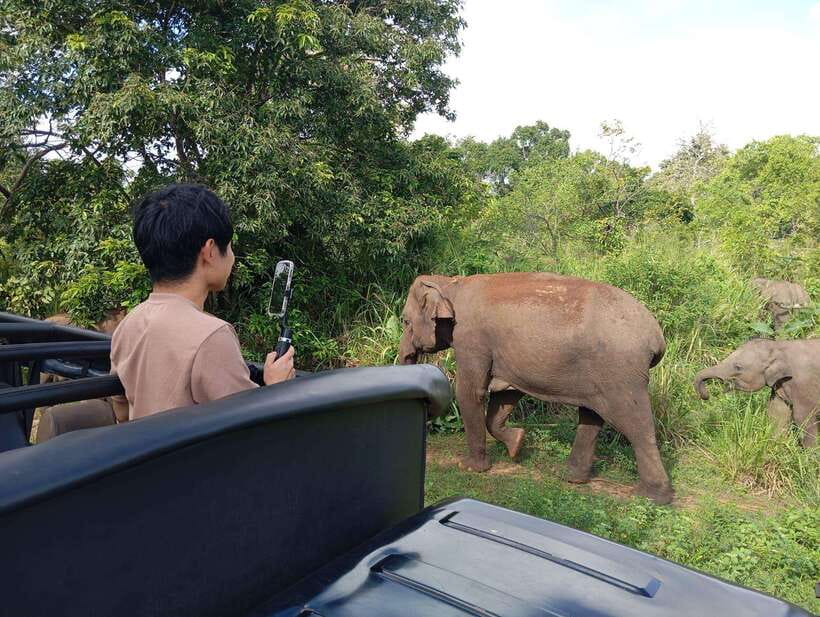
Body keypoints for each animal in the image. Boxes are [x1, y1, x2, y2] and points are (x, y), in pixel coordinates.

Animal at [399, 272, 674, 505]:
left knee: (635, 424)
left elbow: (471, 391)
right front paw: (517, 445)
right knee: (591, 417)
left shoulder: (470, 338)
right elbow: (506, 395)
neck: (450, 283)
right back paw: (570, 477)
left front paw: (470, 468)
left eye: (404, 321)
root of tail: (657, 336)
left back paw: (652, 497)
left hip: (621, 373)